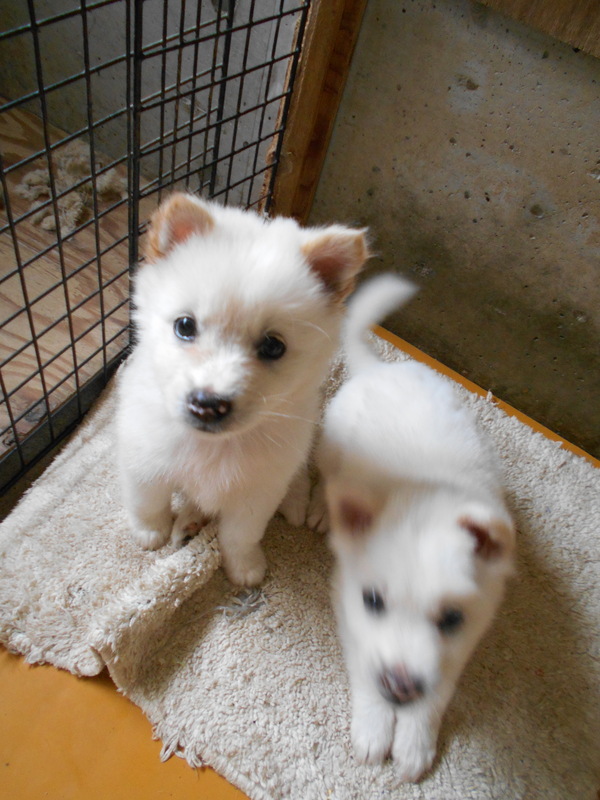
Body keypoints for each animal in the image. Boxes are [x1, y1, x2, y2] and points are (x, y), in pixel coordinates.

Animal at [116, 192, 369, 587]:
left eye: (273, 346)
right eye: (185, 326)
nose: (207, 404)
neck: (212, 446)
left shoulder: (257, 492)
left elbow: (240, 534)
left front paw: (244, 567)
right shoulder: (144, 460)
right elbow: (148, 503)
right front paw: (150, 534)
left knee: (299, 476)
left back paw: (298, 506)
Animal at [308, 274, 515, 781]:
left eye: (453, 618)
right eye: (373, 601)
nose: (400, 688)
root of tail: (378, 370)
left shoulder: (469, 634)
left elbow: (438, 691)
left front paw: (414, 739)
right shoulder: (349, 608)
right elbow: (366, 670)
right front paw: (374, 728)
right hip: (330, 444)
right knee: (327, 477)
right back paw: (323, 507)